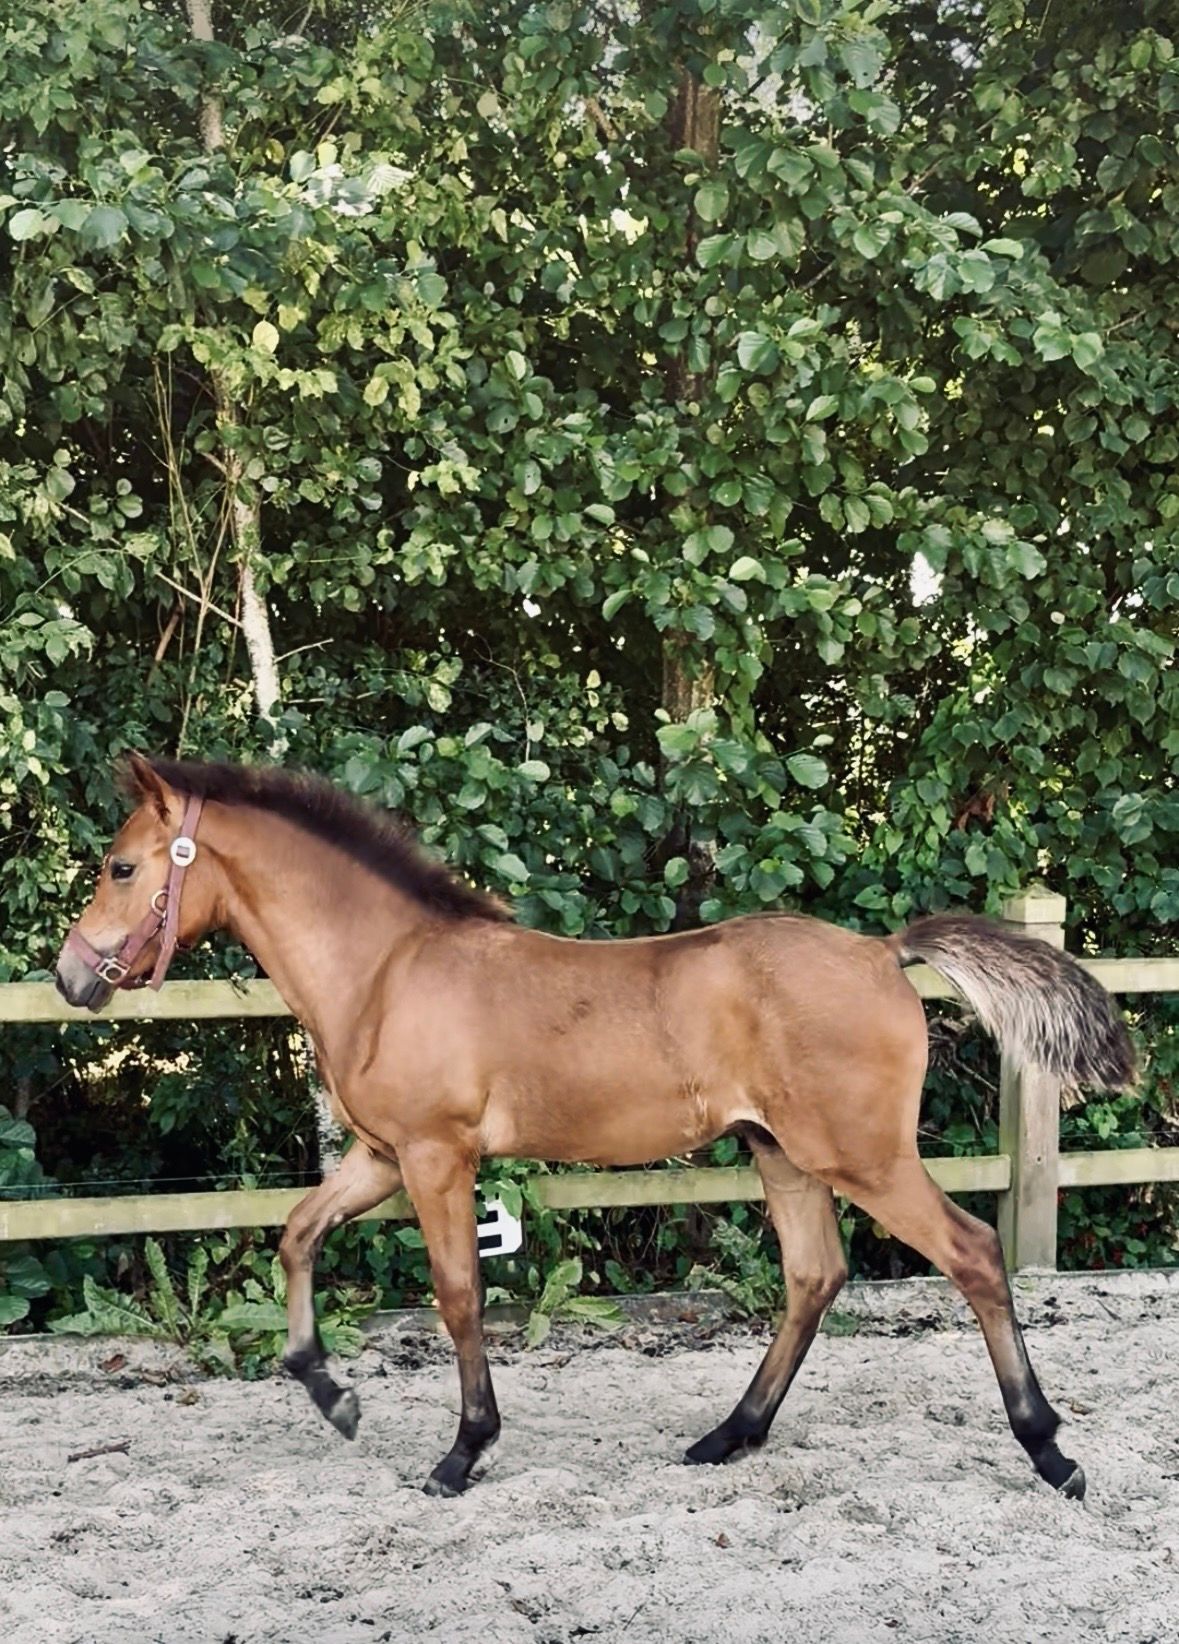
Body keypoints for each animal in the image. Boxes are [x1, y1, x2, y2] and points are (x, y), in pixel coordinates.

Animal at [55, 754, 1134, 1499]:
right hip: (783, 1153)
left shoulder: (437, 1156)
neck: (389, 970)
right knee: (813, 1276)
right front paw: (333, 1395)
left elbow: (457, 1296)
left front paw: (461, 1453)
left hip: (859, 1155)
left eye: (120, 866)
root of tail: (881, 952)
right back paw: (726, 1436)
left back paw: (1050, 1450)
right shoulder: (381, 1154)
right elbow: (296, 1234)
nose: (70, 977)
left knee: (973, 1252)